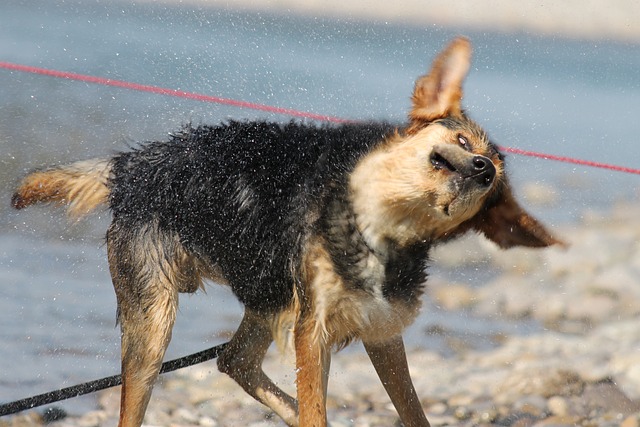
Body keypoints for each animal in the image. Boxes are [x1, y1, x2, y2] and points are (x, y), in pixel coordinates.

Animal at [11, 37, 560, 427]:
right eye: (463, 141)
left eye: (493, 186)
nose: (484, 170)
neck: (377, 228)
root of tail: (132, 166)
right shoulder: (312, 330)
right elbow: (318, 401)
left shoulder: (379, 329)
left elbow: (410, 408)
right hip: (155, 320)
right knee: (149, 389)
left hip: (267, 289)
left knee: (234, 359)